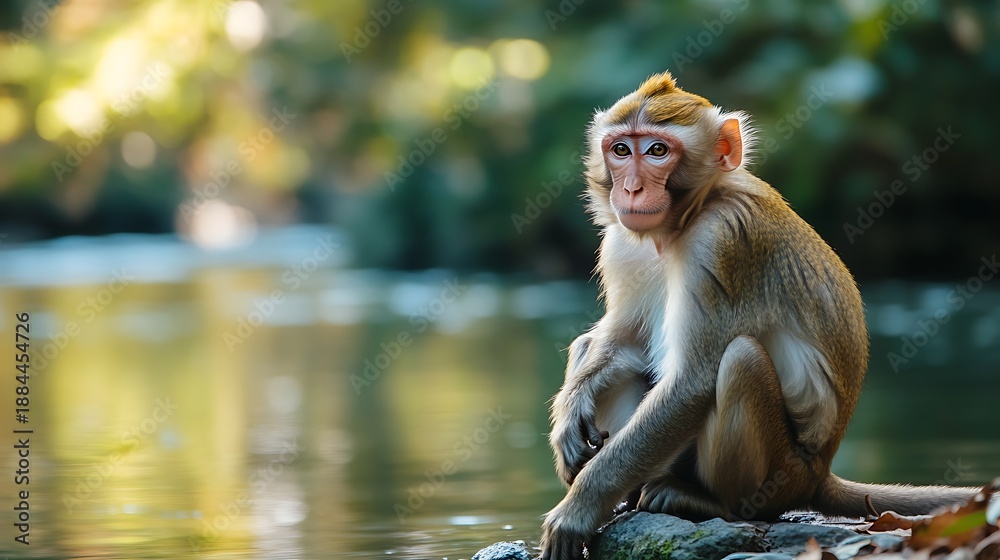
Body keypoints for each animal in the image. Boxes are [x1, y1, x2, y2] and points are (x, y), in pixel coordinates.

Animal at [539, 70, 981, 560]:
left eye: (657, 150)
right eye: (620, 150)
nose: (630, 189)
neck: (683, 224)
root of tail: (819, 473)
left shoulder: (724, 241)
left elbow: (690, 384)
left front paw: (575, 512)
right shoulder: (621, 244)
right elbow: (624, 339)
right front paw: (571, 408)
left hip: (782, 474)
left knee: (741, 360)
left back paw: (710, 502)